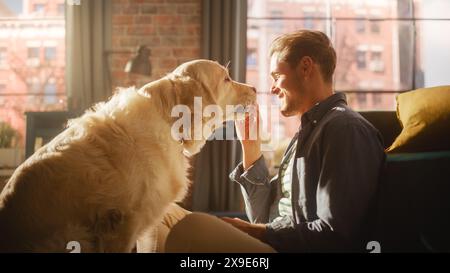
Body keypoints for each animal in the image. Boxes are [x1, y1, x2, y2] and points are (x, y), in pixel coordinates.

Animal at [0, 59, 256, 251]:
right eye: (226, 79)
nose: (255, 88)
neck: (166, 119)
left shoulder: (148, 222)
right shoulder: (122, 223)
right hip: (74, 233)